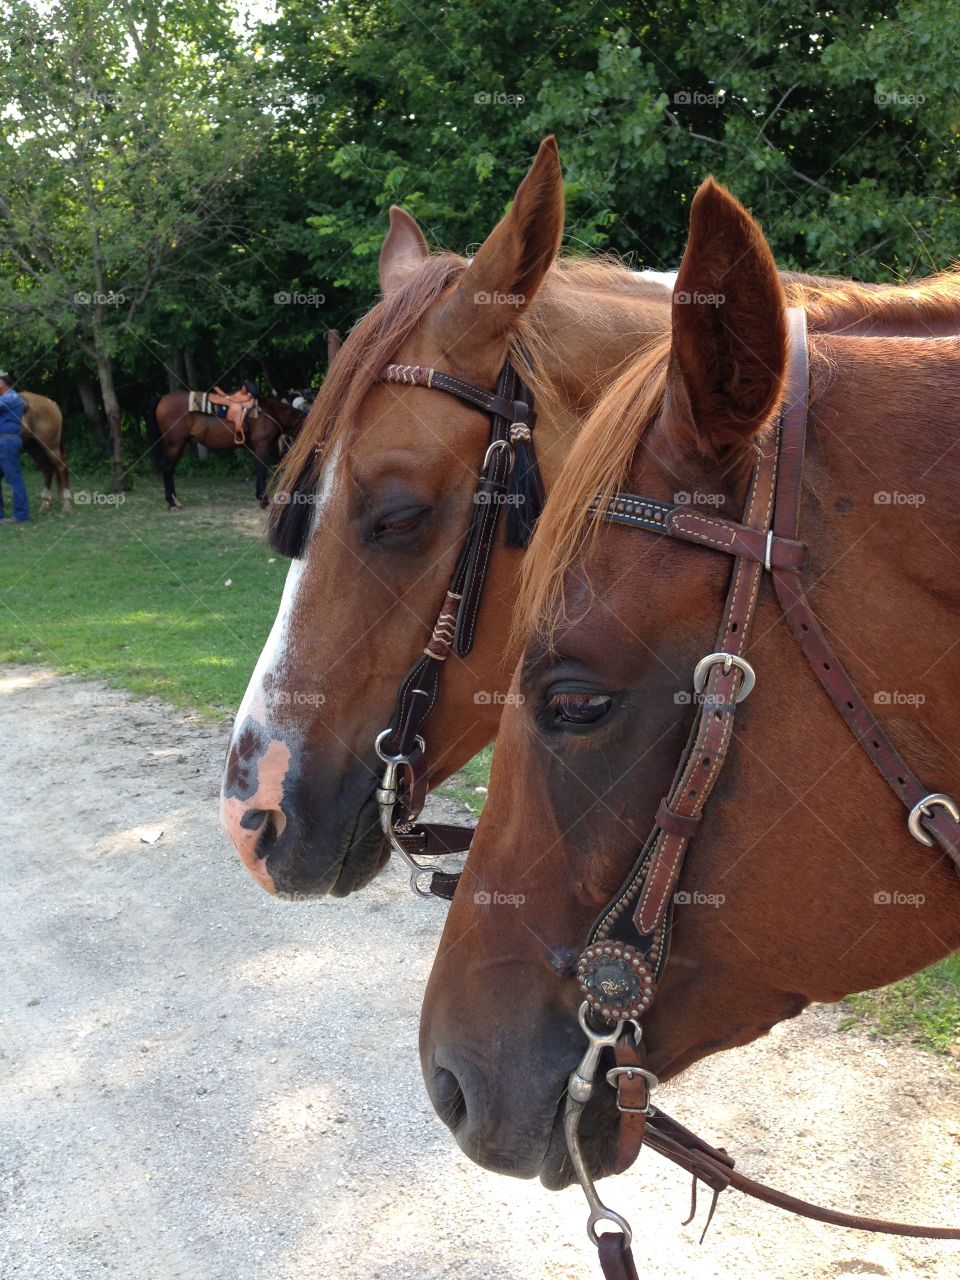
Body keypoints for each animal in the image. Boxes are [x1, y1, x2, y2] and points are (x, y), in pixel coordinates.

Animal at [146, 388, 306, 509]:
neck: (269, 412)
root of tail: (162, 398)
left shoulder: (255, 447)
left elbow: (257, 470)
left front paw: (259, 497)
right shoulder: (262, 445)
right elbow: (262, 472)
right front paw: (264, 501)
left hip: (180, 444)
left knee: (170, 469)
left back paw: (173, 500)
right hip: (174, 444)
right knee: (167, 468)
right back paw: (172, 502)